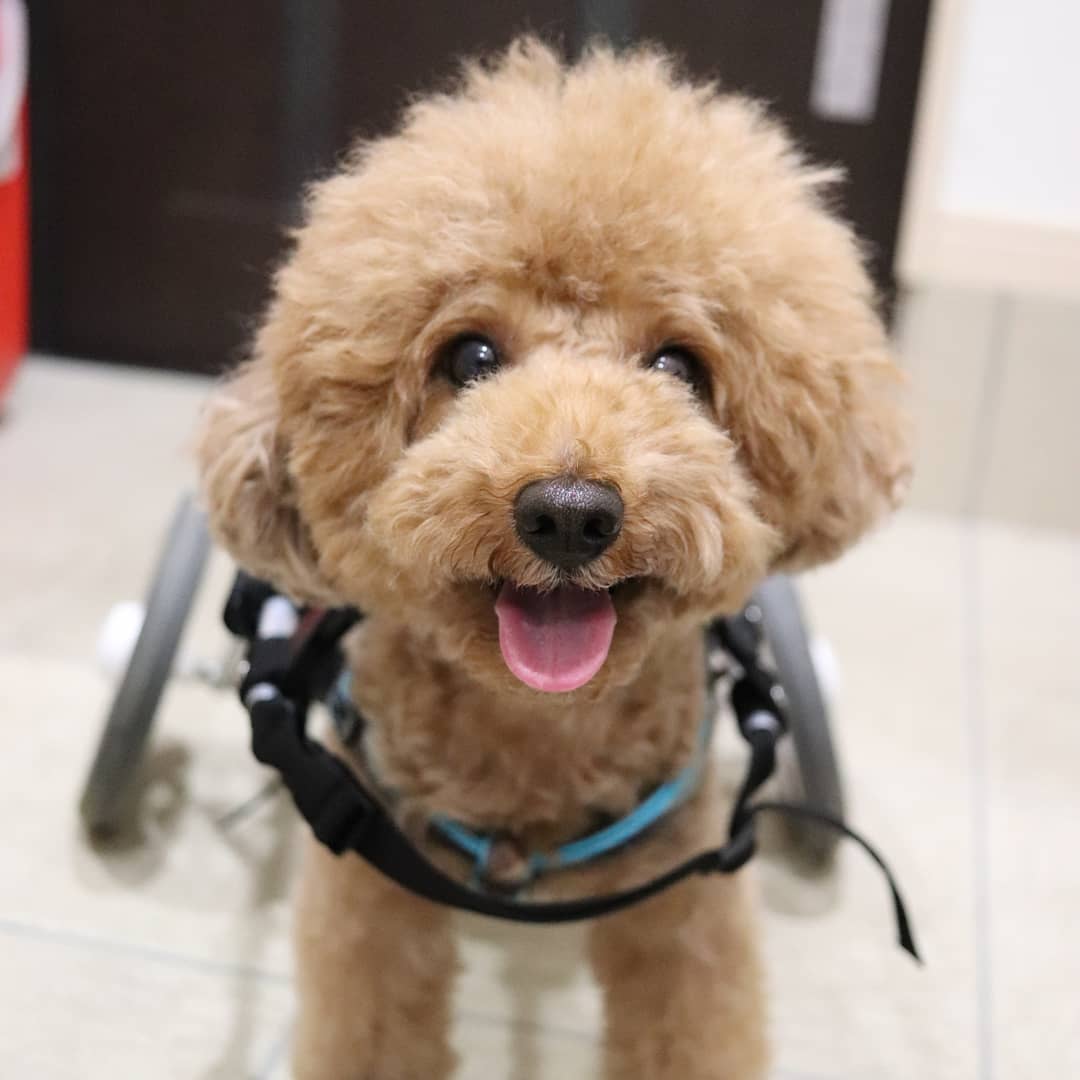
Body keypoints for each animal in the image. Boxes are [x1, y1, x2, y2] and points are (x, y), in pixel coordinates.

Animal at [196, 39, 909, 1080]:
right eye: (470, 356)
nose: (569, 515)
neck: (537, 738)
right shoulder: (372, 900)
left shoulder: (684, 904)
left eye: (679, 366)